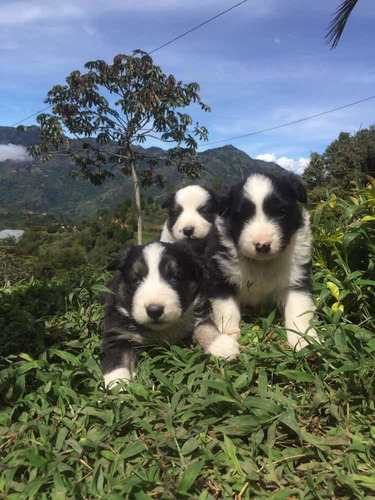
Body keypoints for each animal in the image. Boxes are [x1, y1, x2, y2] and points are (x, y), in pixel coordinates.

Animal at [101, 241, 239, 386]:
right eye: (136, 281)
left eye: (173, 278)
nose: (154, 311)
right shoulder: (117, 335)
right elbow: (116, 364)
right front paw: (118, 387)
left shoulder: (200, 309)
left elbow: (204, 327)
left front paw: (221, 344)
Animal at [226, 172, 320, 352]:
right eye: (242, 216)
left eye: (281, 213)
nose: (262, 245)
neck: (263, 263)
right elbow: (226, 308)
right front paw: (227, 336)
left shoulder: (296, 277)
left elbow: (298, 309)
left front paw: (304, 340)